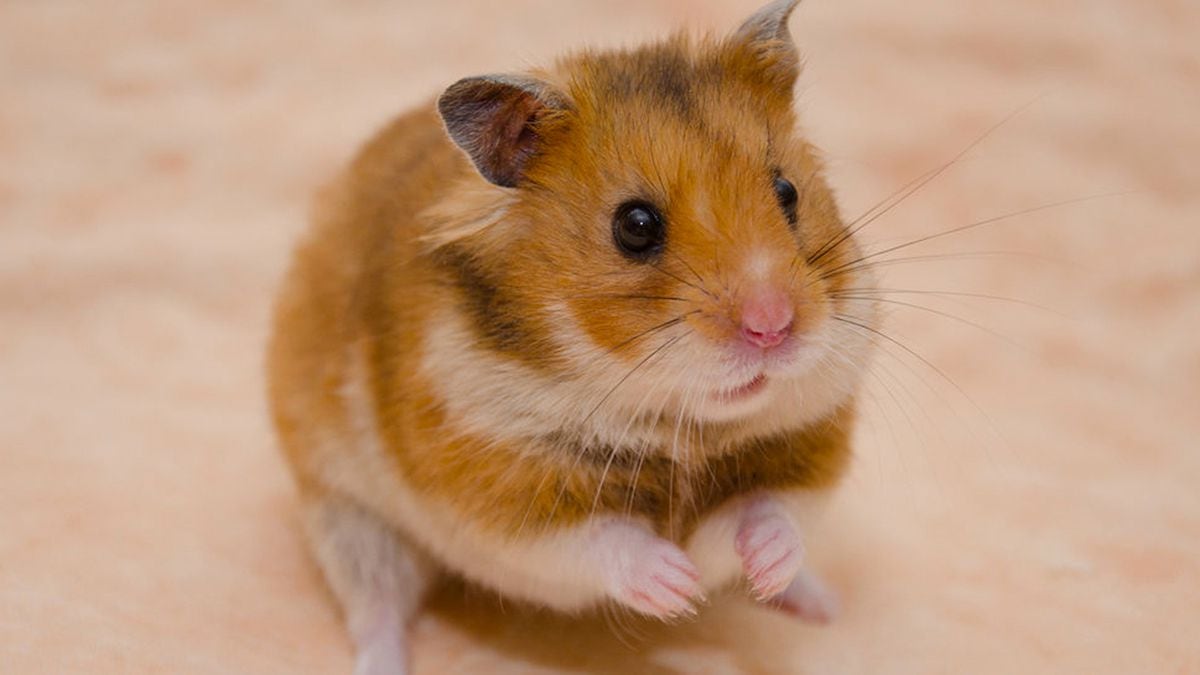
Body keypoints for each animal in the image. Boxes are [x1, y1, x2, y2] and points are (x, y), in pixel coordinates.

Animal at [267, 1, 877, 672]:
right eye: (634, 226)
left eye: (787, 192)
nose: (773, 327)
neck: (680, 426)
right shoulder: (496, 492)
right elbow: (602, 539)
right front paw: (678, 586)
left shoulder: (804, 452)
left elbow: (767, 513)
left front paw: (756, 569)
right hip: (348, 517)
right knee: (376, 605)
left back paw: (821, 605)